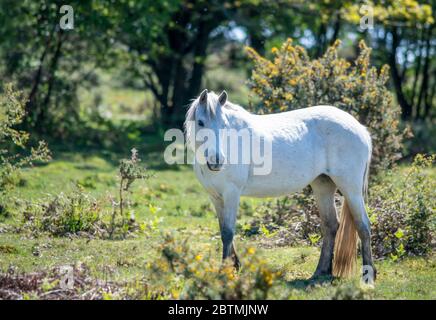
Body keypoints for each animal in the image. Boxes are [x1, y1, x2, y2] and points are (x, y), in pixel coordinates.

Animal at [184, 89, 374, 278]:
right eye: (201, 122)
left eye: (224, 124)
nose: (216, 161)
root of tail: (360, 128)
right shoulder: (216, 197)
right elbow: (223, 230)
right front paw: (234, 265)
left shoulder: (232, 194)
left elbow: (228, 232)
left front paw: (225, 270)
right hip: (323, 187)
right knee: (330, 226)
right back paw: (321, 271)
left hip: (351, 189)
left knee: (363, 226)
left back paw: (368, 276)